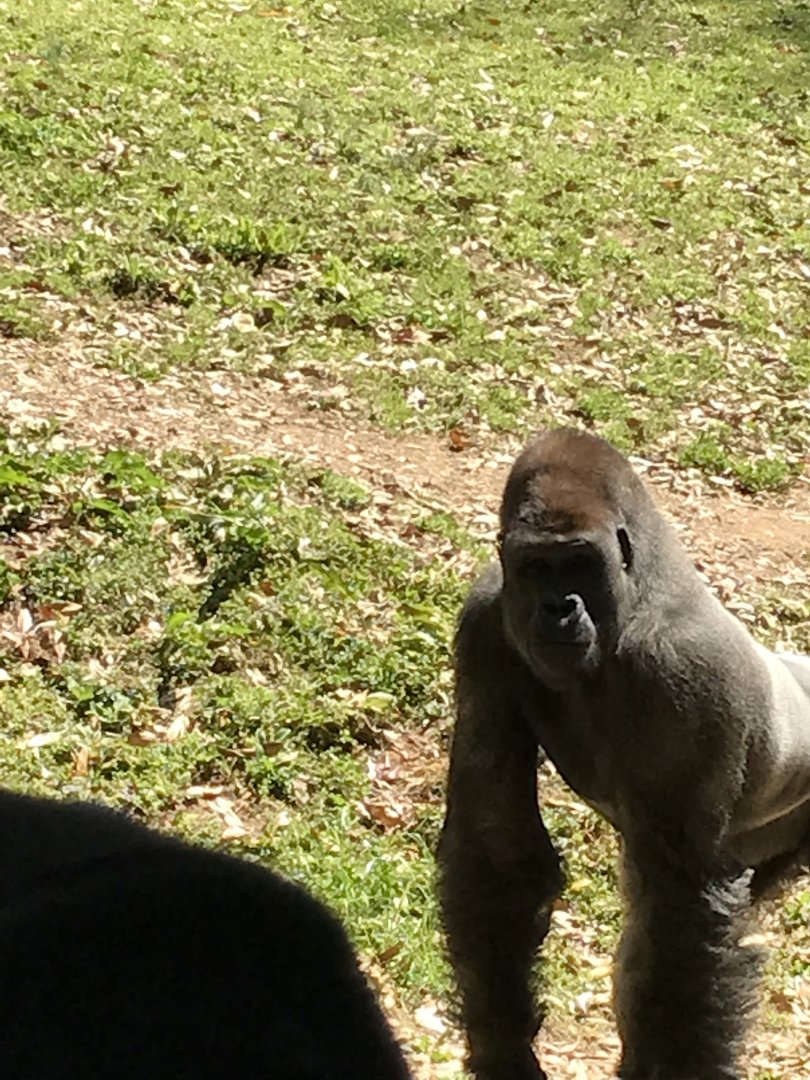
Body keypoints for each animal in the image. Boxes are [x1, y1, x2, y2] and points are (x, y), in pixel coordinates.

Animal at [437, 427, 810, 1080]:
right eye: (537, 567)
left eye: (581, 564)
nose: (558, 607)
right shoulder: (485, 624)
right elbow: (499, 849)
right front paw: (504, 1050)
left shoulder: (688, 675)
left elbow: (684, 913)